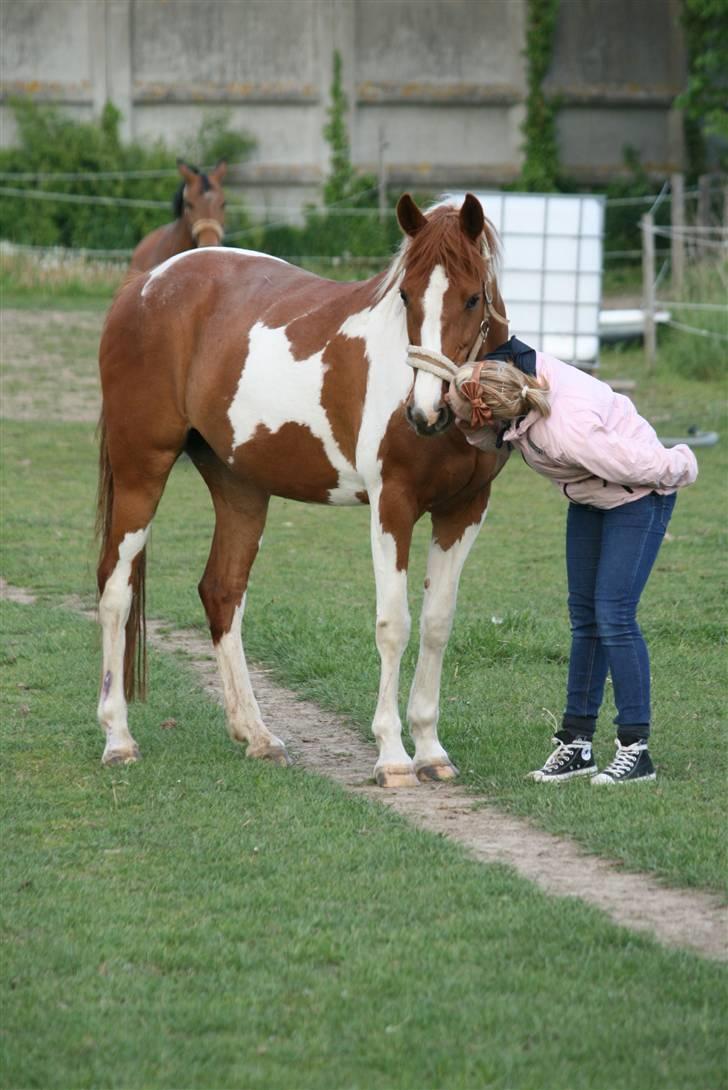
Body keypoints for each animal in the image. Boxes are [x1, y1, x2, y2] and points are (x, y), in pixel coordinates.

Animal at [95, 196, 505, 789]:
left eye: (473, 297)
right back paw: (118, 739)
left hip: (239, 486)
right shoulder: (393, 504)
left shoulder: (464, 510)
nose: (425, 412)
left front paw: (430, 749)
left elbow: (436, 624)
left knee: (222, 591)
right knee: (114, 591)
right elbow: (394, 624)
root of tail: (144, 285)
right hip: (140, 471)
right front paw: (392, 755)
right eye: (405, 295)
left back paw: (257, 736)